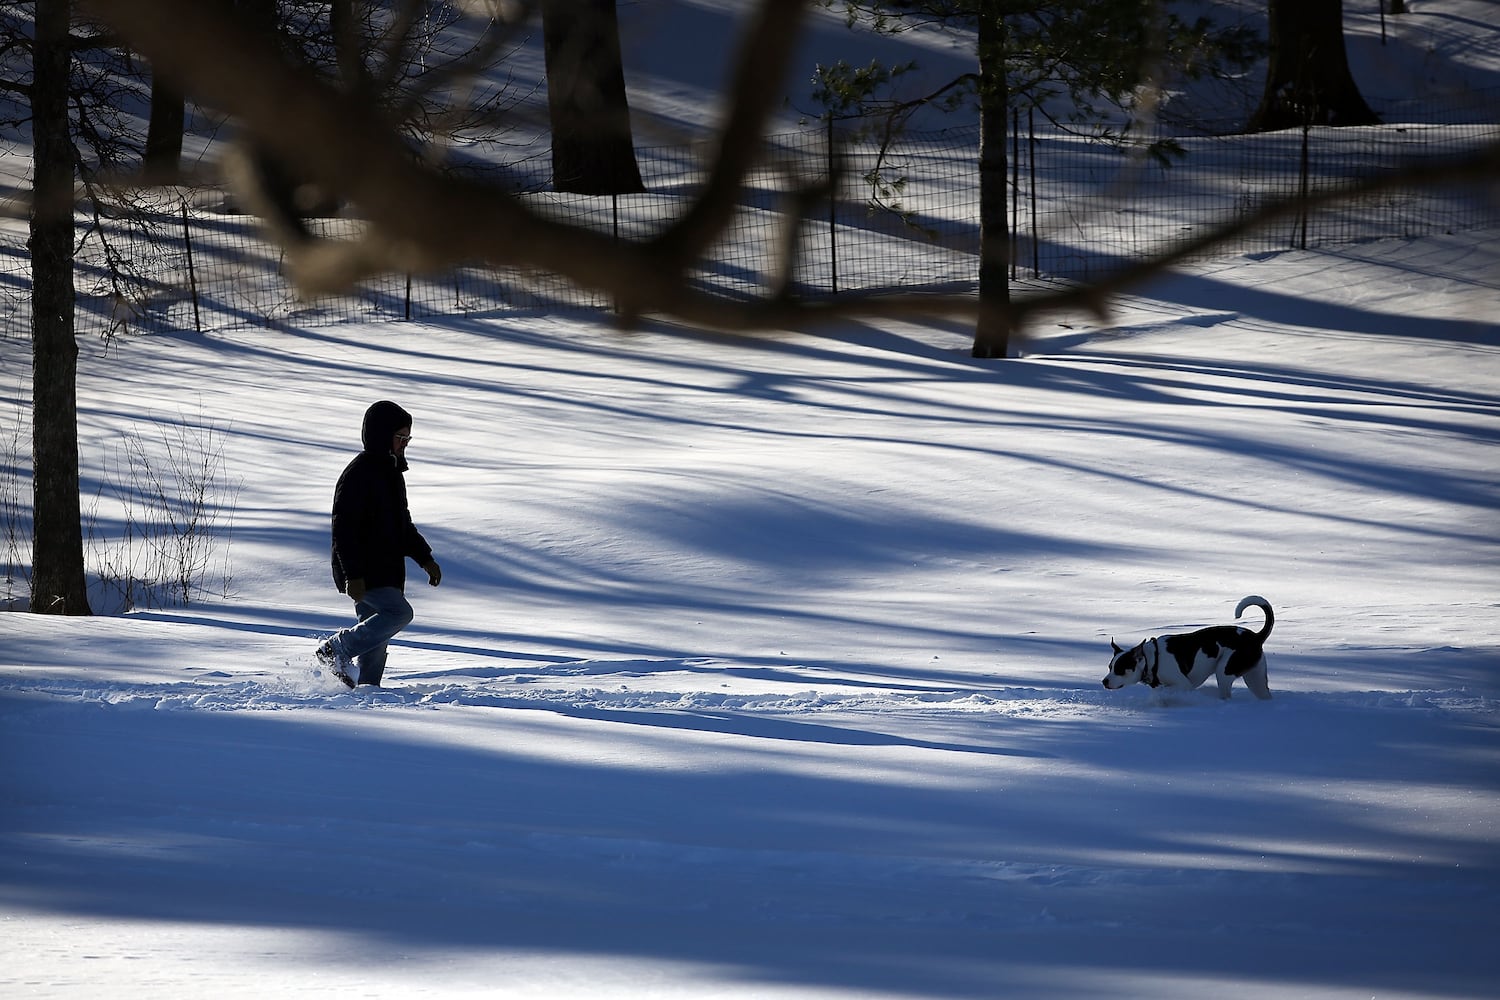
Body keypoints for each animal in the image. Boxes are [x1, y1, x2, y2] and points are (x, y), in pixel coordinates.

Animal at [1110, 599, 1272, 701]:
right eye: (1109, 667)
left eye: (1119, 669)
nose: (1105, 681)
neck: (1151, 659)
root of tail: (1256, 636)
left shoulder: (1183, 685)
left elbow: (1170, 689)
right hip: (1256, 679)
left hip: (1224, 671)